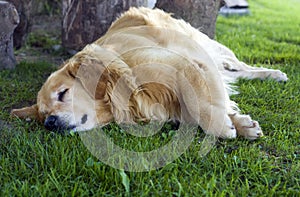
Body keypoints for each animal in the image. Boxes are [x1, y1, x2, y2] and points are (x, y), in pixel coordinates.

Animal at [11, 7, 288, 140]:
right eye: (42, 115)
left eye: (63, 93)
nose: (50, 123)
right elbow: (201, 105)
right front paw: (241, 123)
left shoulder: (186, 64)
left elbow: (199, 103)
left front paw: (224, 126)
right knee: (234, 74)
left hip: (211, 47)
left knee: (241, 67)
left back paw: (274, 74)